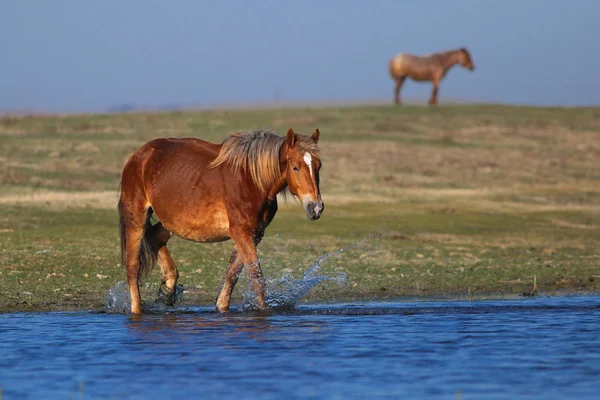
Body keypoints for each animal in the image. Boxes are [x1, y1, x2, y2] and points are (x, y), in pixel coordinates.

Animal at [118, 128, 324, 312]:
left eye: (318, 166)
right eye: (295, 167)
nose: (316, 207)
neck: (252, 179)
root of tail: (137, 156)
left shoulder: (255, 233)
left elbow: (232, 272)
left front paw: (221, 306)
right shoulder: (241, 232)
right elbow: (256, 276)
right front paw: (262, 310)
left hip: (172, 221)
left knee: (154, 237)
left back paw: (168, 289)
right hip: (136, 217)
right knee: (133, 266)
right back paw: (138, 309)